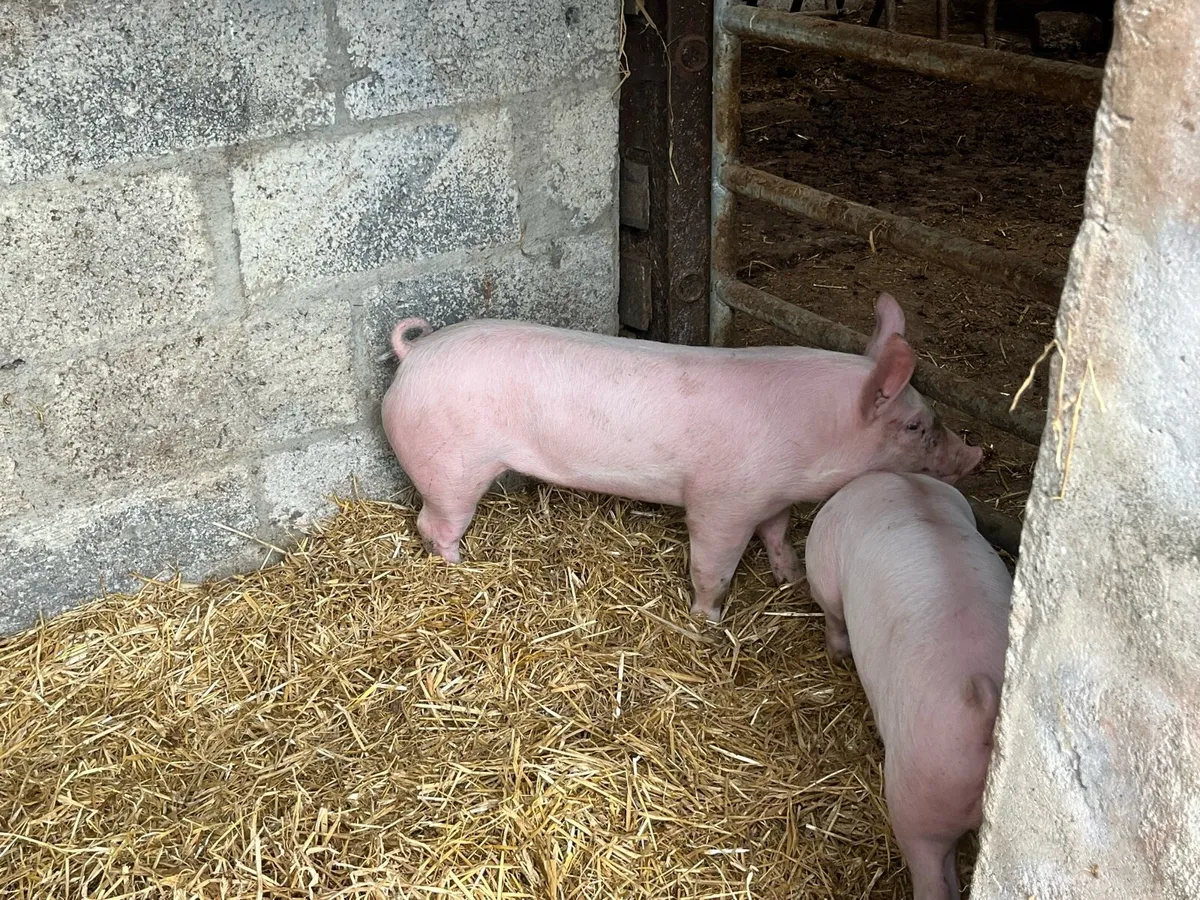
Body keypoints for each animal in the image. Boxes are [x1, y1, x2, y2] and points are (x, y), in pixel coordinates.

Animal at [381, 292, 982, 622]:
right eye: (915, 426)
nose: (974, 455)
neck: (815, 437)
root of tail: (414, 354)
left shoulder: (772, 494)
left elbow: (778, 533)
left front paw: (789, 578)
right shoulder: (722, 501)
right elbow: (713, 566)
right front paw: (708, 621)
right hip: (451, 469)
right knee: (432, 523)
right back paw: (461, 567)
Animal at [803, 471, 1012, 900]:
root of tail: (986, 710)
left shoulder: (825, 569)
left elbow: (833, 616)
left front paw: (838, 655)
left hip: (918, 793)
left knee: (933, 877)